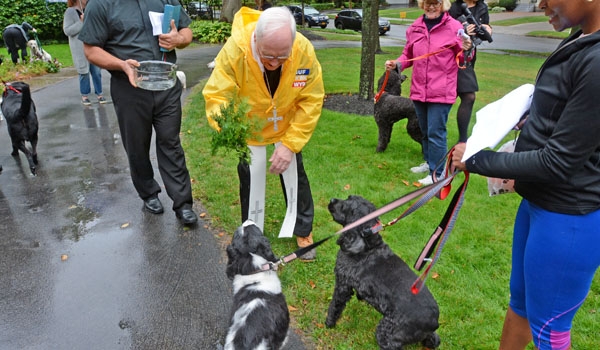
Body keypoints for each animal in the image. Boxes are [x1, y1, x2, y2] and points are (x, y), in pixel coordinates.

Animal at [328, 196, 440, 348]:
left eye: (346, 206)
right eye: (349, 197)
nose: (332, 200)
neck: (367, 245)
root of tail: (434, 322)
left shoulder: (343, 285)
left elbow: (335, 306)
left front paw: (329, 323)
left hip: (387, 334)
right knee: (434, 339)